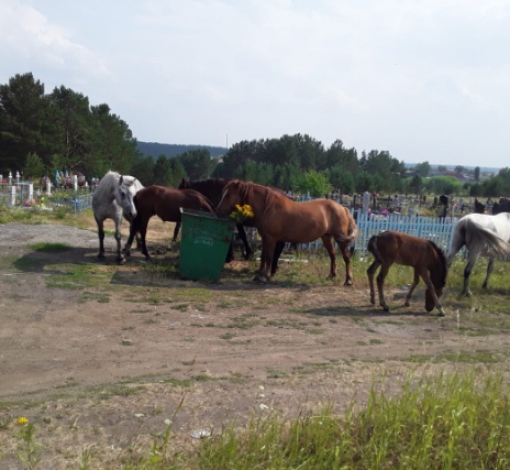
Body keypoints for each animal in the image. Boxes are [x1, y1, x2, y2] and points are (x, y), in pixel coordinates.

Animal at [215, 179, 358, 282]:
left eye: (228, 195)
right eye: (223, 193)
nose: (218, 211)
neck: (268, 207)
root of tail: (342, 208)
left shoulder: (271, 238)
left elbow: (269, 256)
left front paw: (265, 276)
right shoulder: (265, 238)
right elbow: (263, 256)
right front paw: (260, 275)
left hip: (340, 238)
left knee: (346, 257)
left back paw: (348, 280)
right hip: (327, 237)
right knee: (333, 255)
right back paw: (332, 275)